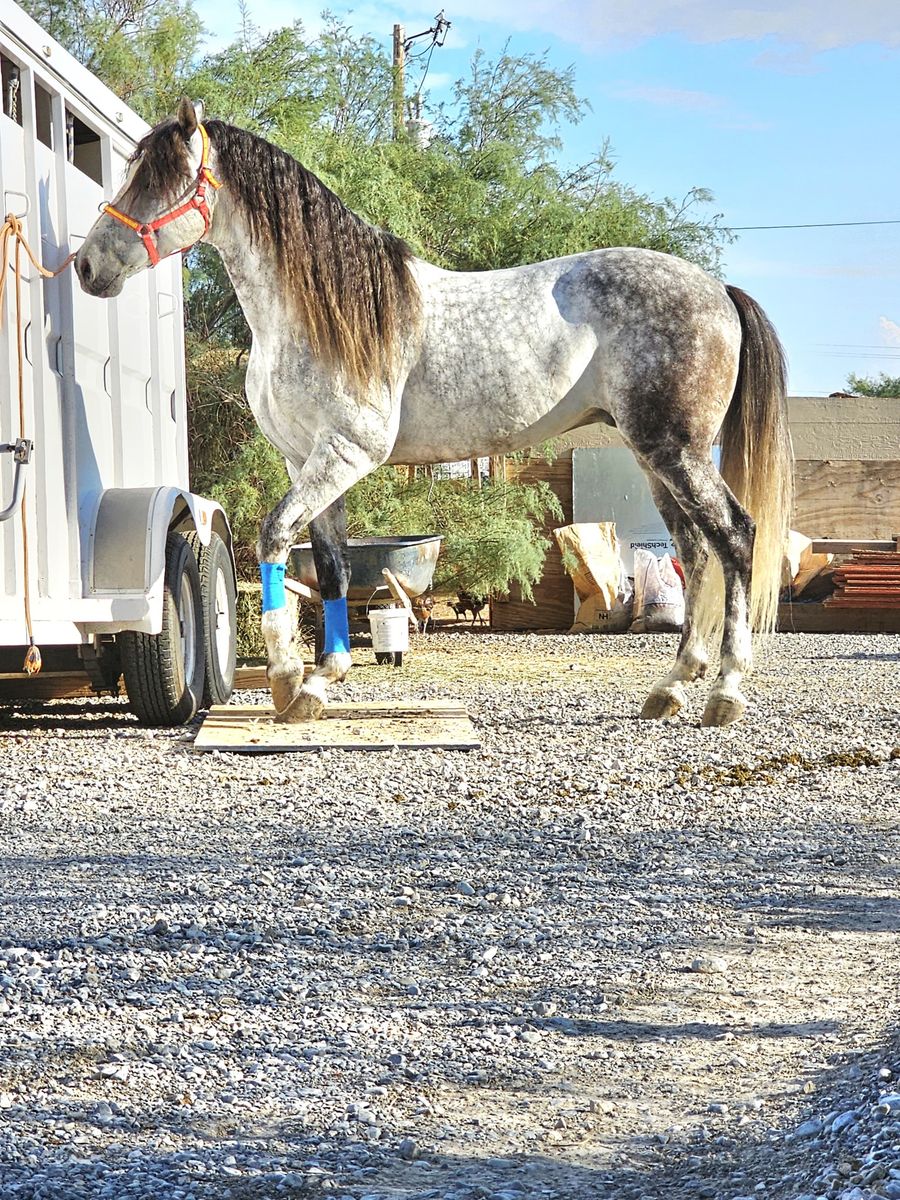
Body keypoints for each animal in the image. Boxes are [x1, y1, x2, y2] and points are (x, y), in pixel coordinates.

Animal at [75, 98, 793, 728]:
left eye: (157, 177)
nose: (85, 265)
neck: (319, 313)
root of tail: (718, 292)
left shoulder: (345, 453)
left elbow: (274, 535)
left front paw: (284, 677)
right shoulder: (309, 460)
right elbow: (332, 568)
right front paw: (319, 683)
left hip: (678, 452)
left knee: (736, 538)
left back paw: (725, 694)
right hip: (653, 457)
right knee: (696, 551)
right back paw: (671, 688)